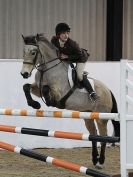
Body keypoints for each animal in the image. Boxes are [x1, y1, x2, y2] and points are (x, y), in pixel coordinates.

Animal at [20, 32, 119, 169]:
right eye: (24, 51)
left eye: (34, 52)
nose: (24, 73)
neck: (47, 69)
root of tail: (108, 90)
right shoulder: (36, 89)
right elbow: (26, 87)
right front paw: (35, 104)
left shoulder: (58, 93)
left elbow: (46, 89)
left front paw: (49, 102)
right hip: (88, 115)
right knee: (93, 134)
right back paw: (94, 159)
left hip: (101, 117)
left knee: (103, 136)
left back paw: (100, 162)